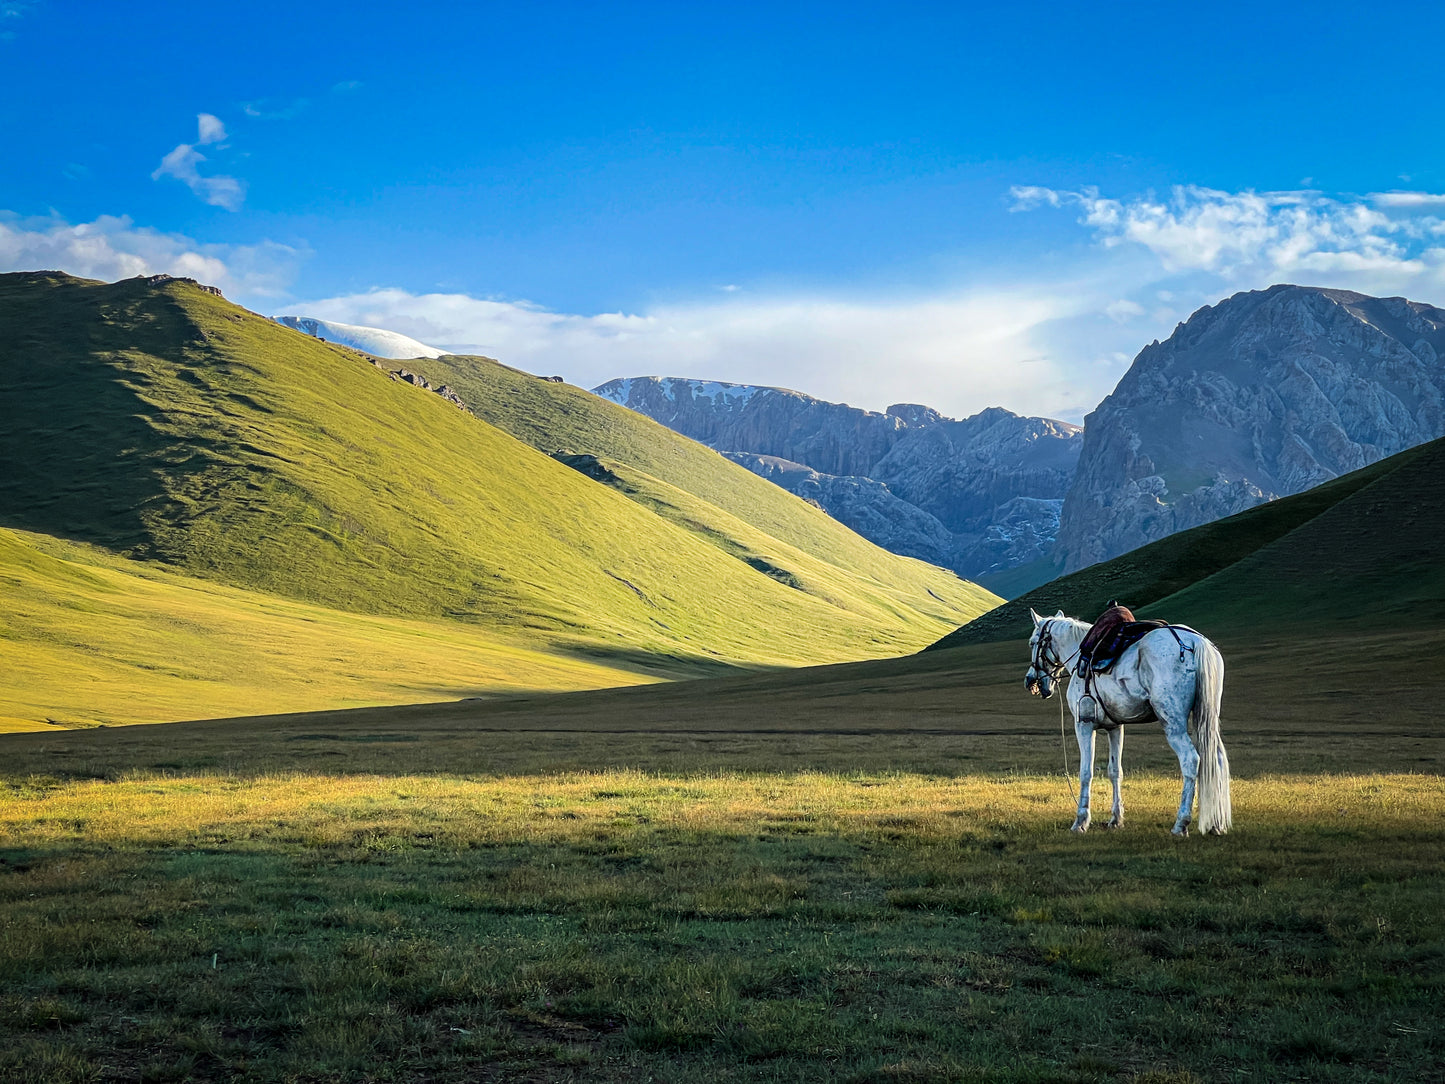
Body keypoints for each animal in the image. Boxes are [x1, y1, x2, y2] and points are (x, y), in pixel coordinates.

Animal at [1028, 612, 1231, 838]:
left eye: (1032, 642)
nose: (1030, 681)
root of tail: (1195, 642)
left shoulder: (1084, 724)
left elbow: (1086, 773)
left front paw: (1080, 822)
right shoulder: (1115, 727)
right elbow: (1115, 771)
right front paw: (1116, 819)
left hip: (1173, 723)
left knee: (1191, 760)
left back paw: (1181, 824)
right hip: (1208, 719)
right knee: (1217, 759)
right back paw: (1216, 824)